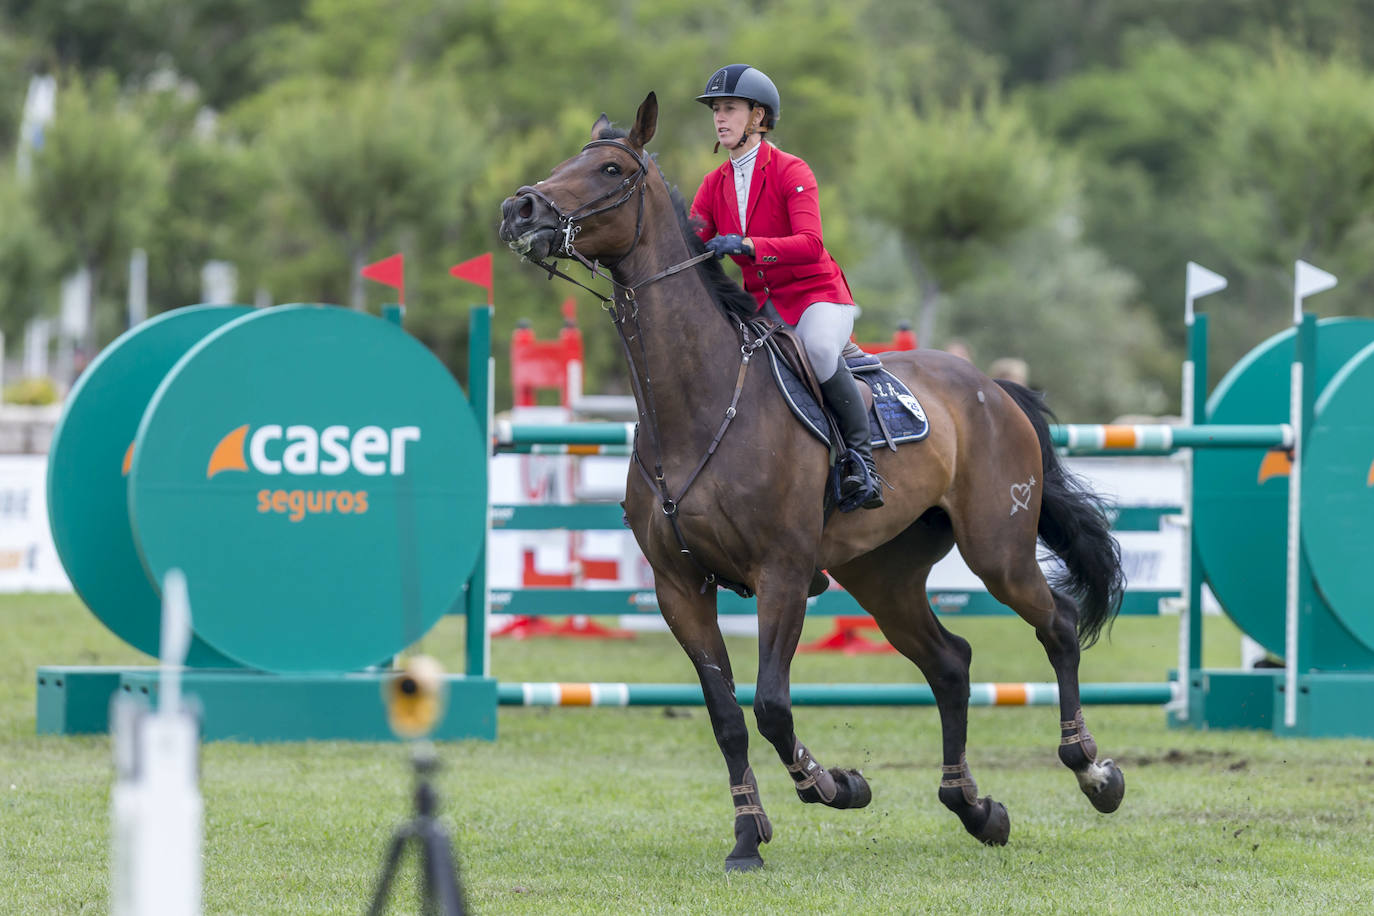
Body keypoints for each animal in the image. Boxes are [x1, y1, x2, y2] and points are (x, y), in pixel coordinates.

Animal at [500, 93, 1121, 873]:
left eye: (610, 170)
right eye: (567, 162)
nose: (518, 209)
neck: (698, 403)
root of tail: (989, 386)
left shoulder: (783, 574)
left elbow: (771, 705)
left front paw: (835, 785)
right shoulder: (680, 587)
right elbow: (728, 718)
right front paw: (747, 837)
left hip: (997, 551)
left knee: (1057, 626)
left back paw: (1092, 770)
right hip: (884, 574)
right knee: (950, 662)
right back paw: (975, 809)